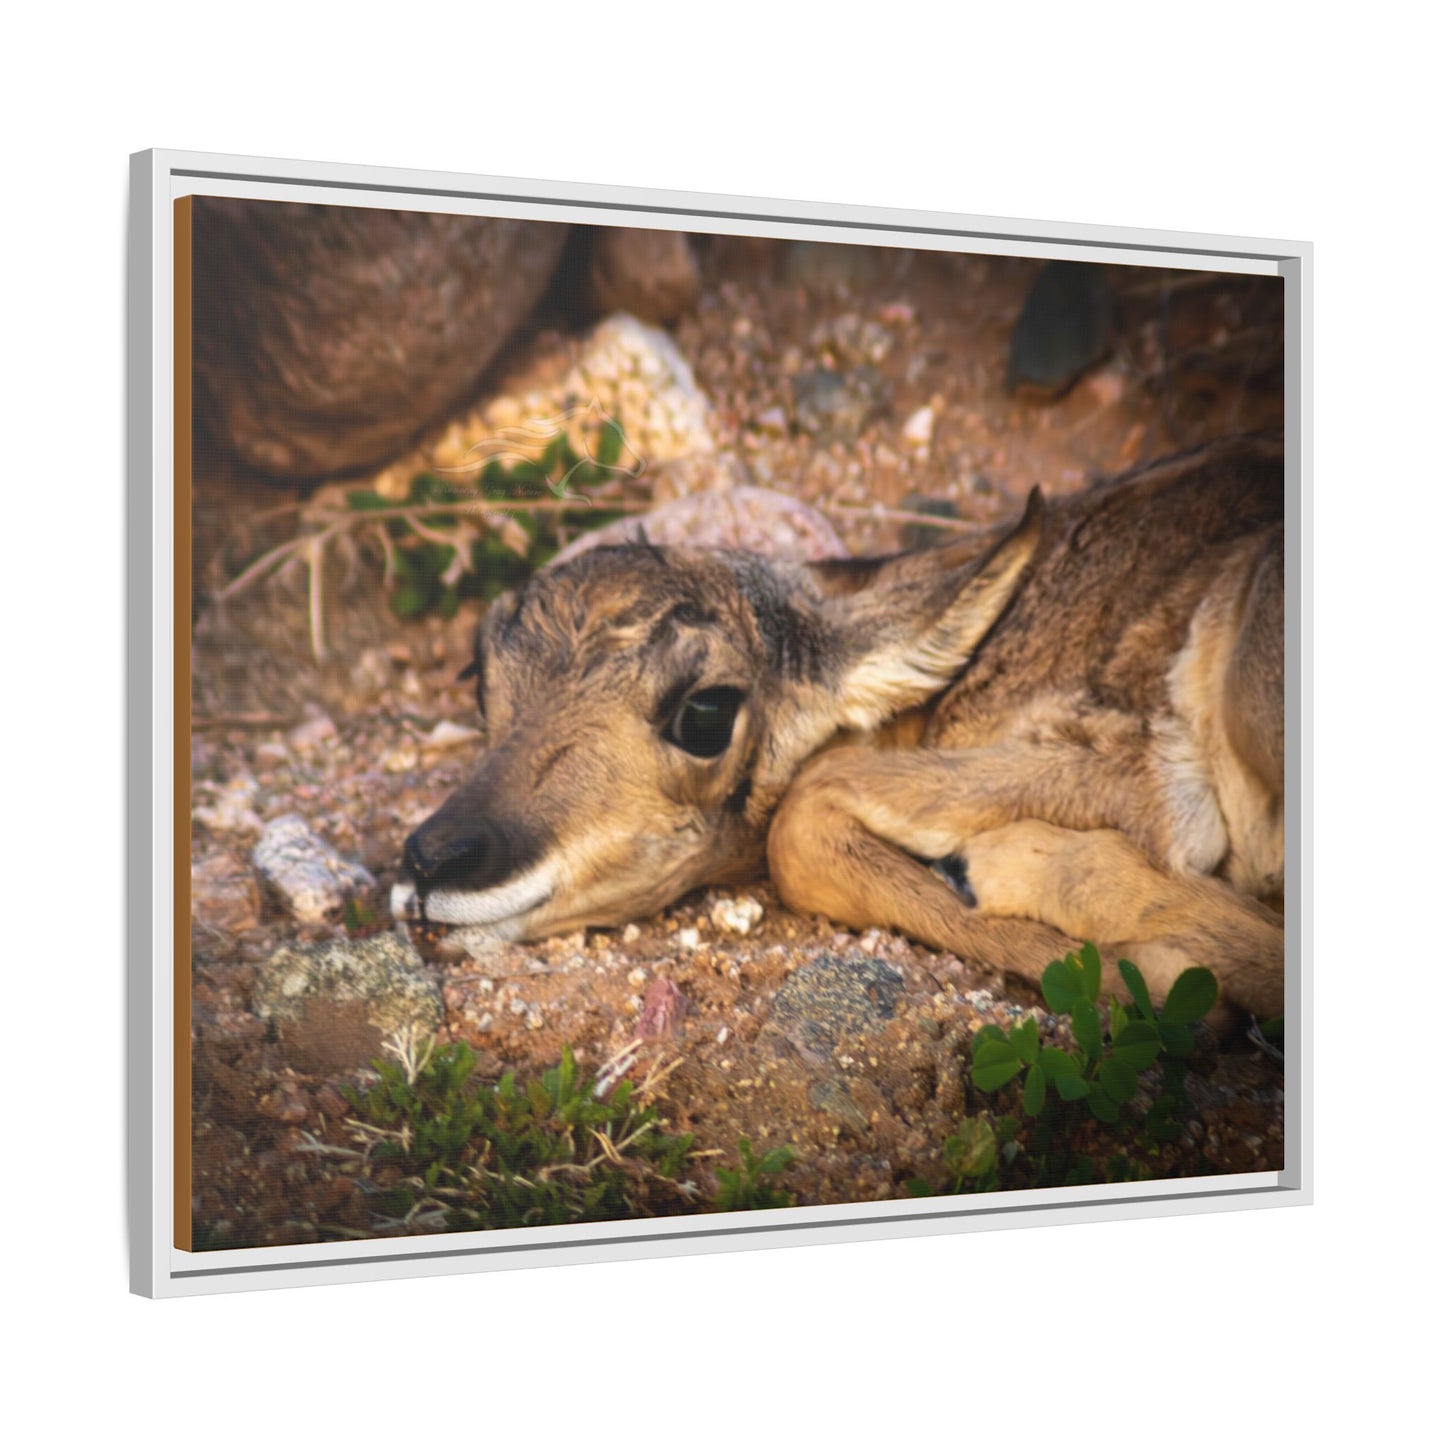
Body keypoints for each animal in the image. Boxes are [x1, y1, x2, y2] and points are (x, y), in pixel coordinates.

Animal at [392, 434, 1286, 1022]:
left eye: (704, 712)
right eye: (481, 673)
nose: (432, 860)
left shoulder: (1145, 779)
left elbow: (801, 816)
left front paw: (1159, 975)